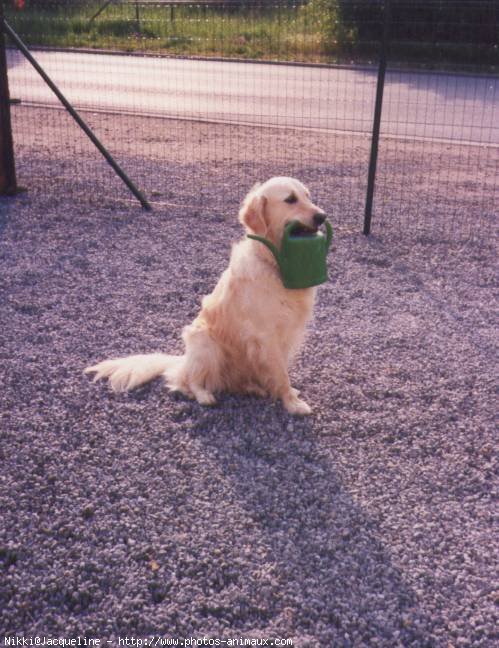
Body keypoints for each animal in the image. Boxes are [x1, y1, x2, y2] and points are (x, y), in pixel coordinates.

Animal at [85, 176, 328, 416]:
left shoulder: (287, 334)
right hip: (206, 343)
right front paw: (292, 403)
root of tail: (183, 361)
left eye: (308, 196)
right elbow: (280, 374)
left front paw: (287, 393)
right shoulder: (266, 335)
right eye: (290, 199)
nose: (322, 216)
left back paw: (253, 387)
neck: (275, 263)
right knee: (189, 381)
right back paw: (204, 395)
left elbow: (280, 371)